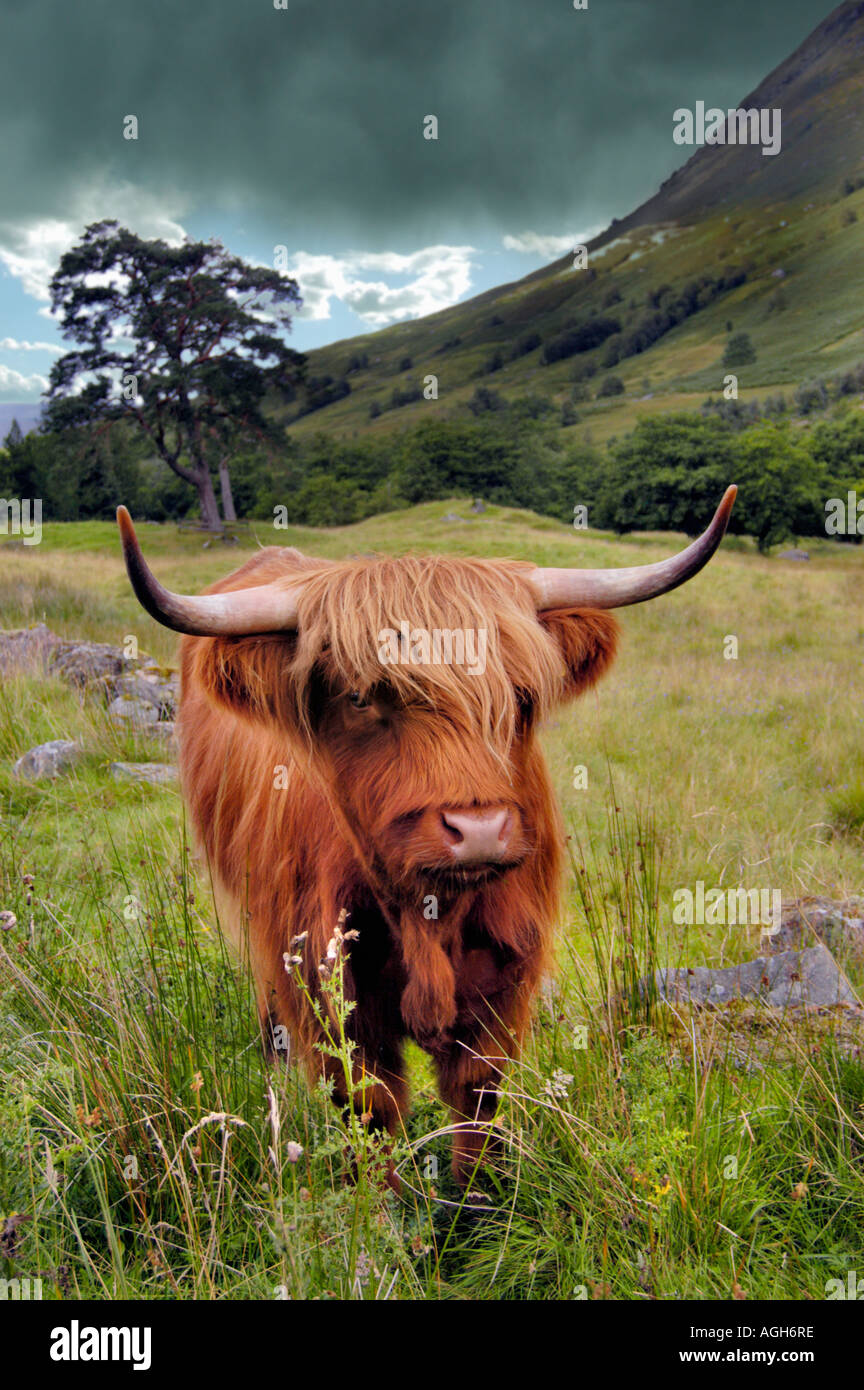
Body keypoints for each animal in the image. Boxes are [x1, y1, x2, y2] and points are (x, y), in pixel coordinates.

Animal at [116, 487, 736, 1187]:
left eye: (522, 696)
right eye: (361, 697)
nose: (481, 831)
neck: (427, 916)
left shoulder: (505, 978)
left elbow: (478, 1107)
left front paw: (471, 1209)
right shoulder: (328, 986)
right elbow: (370, 1108)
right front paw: (379, 1211)